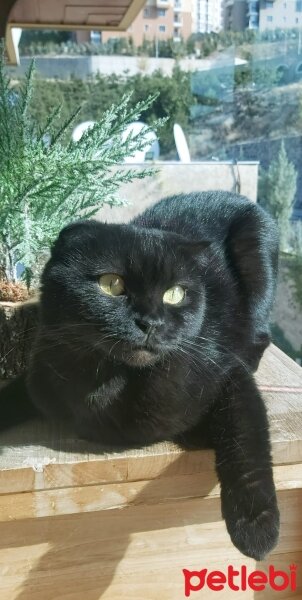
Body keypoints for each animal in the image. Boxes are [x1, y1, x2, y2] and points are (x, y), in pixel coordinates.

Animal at [0, 191, 280, 556]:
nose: (151, 323)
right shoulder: (41, 372)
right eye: (111, 284)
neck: (109, 382)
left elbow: (247, 436)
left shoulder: (229, 371)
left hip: (257, 255)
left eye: (175, 293)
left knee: (261, 336)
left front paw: (257, 526)